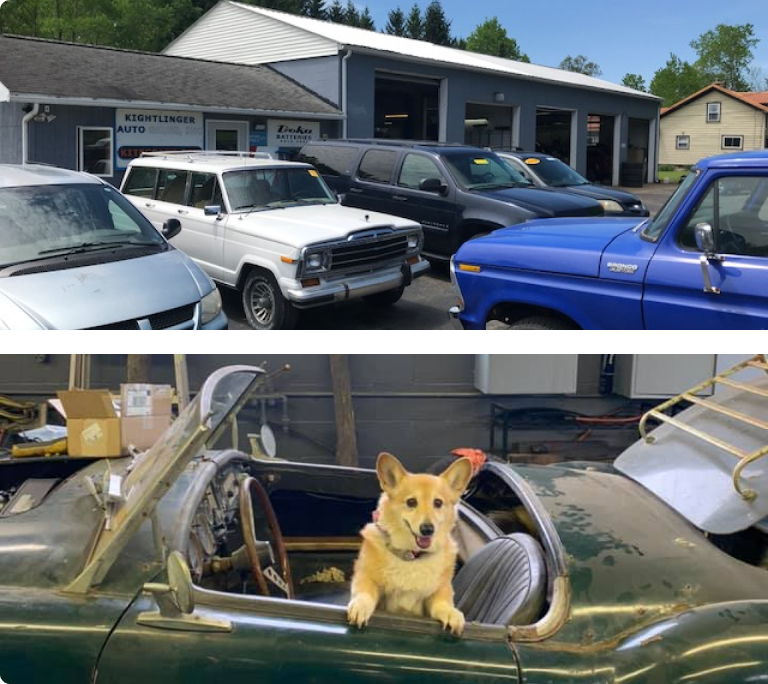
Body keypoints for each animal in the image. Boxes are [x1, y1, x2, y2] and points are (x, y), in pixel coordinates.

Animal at [348, 452, 474, 632]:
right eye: (411, 502)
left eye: (438, 503)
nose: (427, 529)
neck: (412, 555)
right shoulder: (366, 577)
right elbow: (364, 592)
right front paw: (360, 606)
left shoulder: (438, 591)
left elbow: (442, 603)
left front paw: (452, 613)